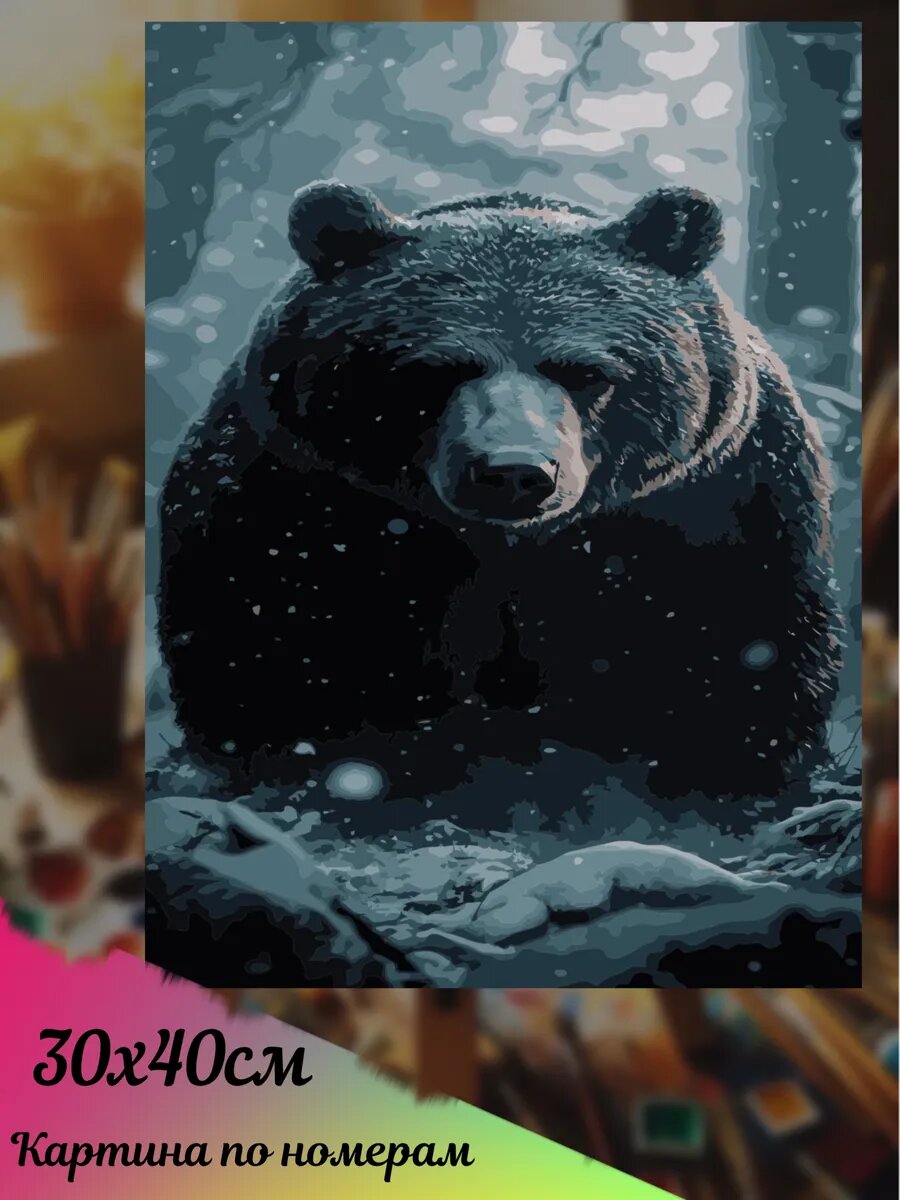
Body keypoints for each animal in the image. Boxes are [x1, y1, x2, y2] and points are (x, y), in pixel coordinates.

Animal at [157, 181, 842, 802]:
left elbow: (741, 657)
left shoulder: (711, 508)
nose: (513, 470)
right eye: (435, 369)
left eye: (585, 371)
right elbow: (271, 650)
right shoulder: (300, 498)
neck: (508, 547)